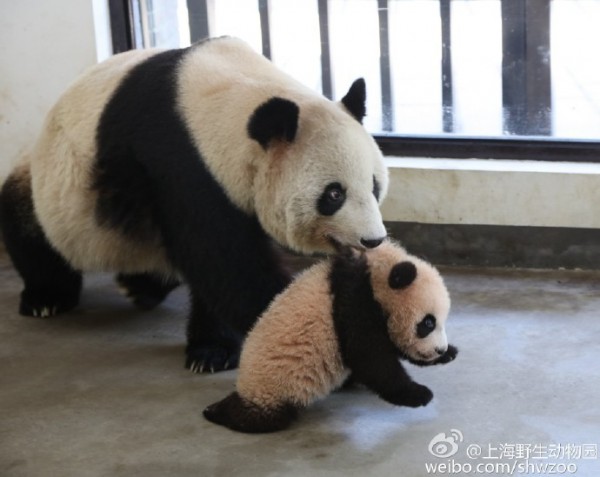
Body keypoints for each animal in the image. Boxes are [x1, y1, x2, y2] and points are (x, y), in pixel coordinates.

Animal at [0, 36, 390, 372]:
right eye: (333, 195)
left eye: (374, 185)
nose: (373, 240)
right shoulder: (180, 163)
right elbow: (226, 265)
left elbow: (215, 269)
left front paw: (211, 350)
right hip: (56, 189)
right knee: (30, 228)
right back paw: (46, 298)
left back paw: (140, 286)